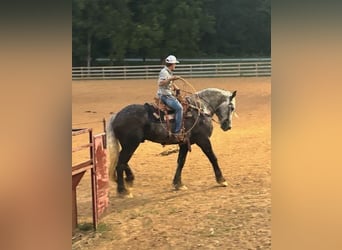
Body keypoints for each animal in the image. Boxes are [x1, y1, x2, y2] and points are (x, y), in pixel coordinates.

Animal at [107, 88, 238, 197]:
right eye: (232, 108)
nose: (228, 126)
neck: (201, 109)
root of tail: (116, 115)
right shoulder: (203, 140)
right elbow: (213, 158)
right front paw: (221, 180)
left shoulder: (184, 143)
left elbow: (181, 162)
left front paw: (178, 184)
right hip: (131, 145)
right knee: (120, 163)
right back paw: (123, 191)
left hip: (129, 145)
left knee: (121, 161)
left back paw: (129, 179)